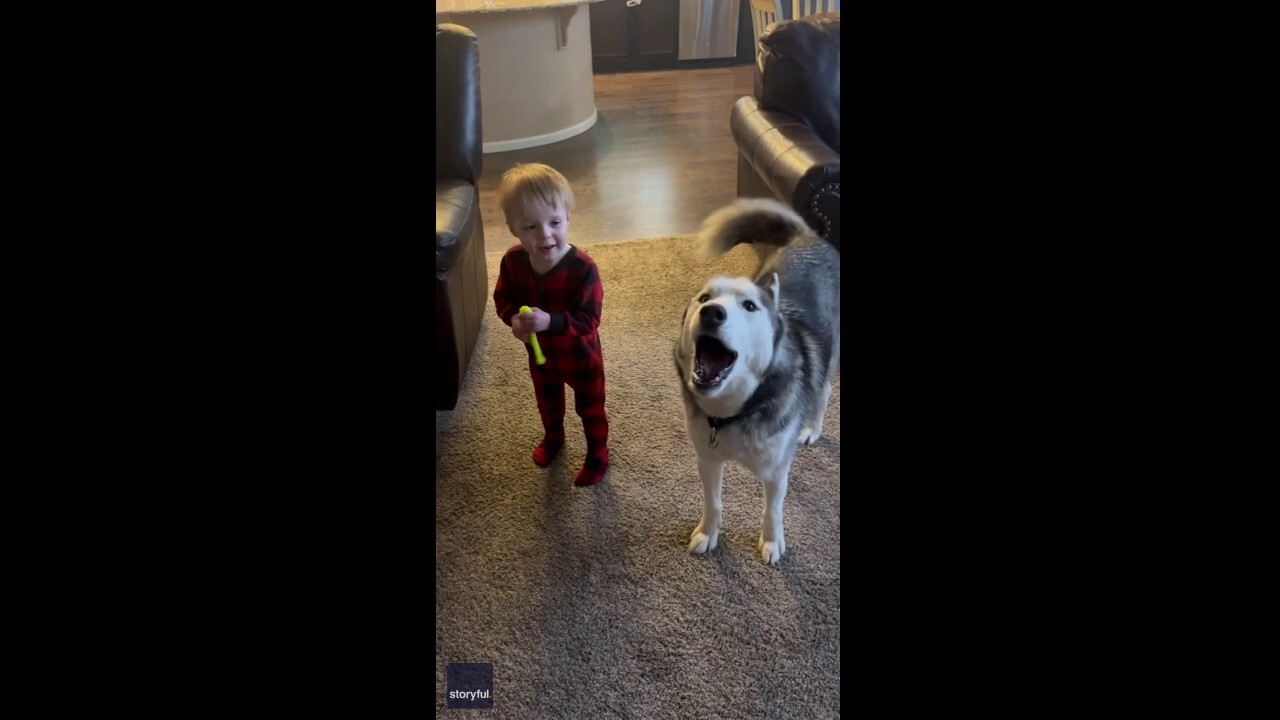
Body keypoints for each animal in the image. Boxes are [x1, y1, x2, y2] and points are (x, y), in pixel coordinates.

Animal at [670, 197, 839, 566]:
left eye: (749, 306)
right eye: (704, 298)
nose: (712, 312)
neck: (734, 413)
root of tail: (809, 237)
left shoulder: (775, 473)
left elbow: (772, 510)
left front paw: (772, 541)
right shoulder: (707, 459)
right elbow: (714, 502)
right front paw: (708, 533)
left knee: (824, 389)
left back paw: (812, 428)